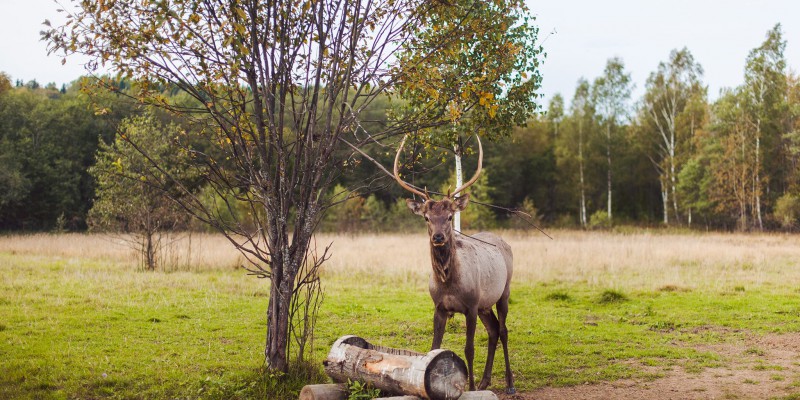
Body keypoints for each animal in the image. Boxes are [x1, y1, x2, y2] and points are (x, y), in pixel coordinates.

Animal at [390, 135, 516, 394]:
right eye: (426, 218)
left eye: (449, 217)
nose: (438, 237)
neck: (449, 284)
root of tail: (504, 242)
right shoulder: (439, 307)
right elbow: (433, 346)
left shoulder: (471, 305)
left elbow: (469, 349)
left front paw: (470, 388)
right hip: (485, 305)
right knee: (493, 330)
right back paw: (485, 381)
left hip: (504, 291)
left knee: (504, 330)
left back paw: (510, 384)